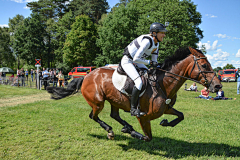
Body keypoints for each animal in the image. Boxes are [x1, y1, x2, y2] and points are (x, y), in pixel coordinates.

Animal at [47, 47, 221, 142]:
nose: (218, 85)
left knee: (114, 115)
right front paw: (132, 133)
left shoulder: (165, 108)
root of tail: (87, 75)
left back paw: (125, 127)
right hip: (98, 102)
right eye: (204, 65)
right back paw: (112, 130)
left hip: (114, 101)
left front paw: (165, 123)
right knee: (94, 116)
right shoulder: (143, 117)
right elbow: (147, 137)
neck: (163, 84)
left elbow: (181, 115)